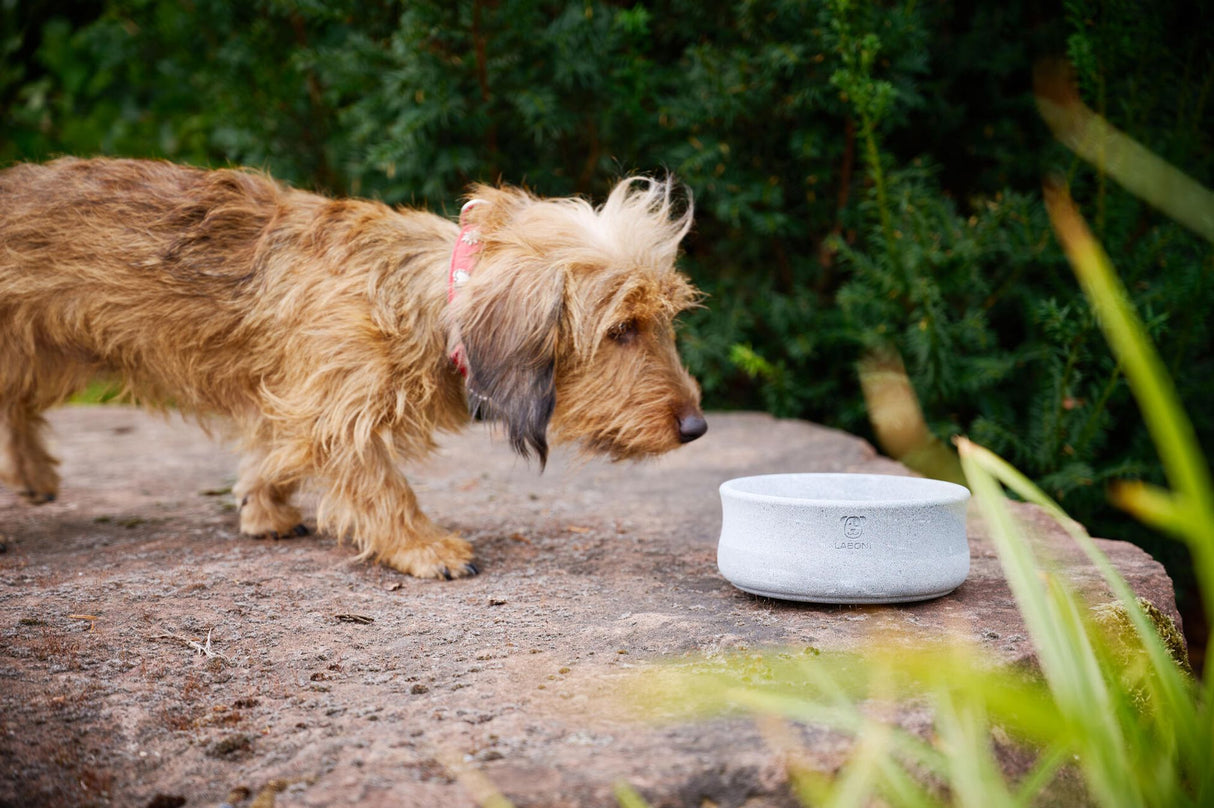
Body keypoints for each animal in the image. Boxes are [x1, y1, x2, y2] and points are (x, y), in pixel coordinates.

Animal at [0, 154, 708, 575]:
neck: (425, 295)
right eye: (621, 329)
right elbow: (377, 479)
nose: (697, 428)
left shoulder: (294, 397)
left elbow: (276, 450)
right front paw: (423, 544)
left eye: (663, 319)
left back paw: (35, 475)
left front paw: (261, 504)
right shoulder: (337, 406)